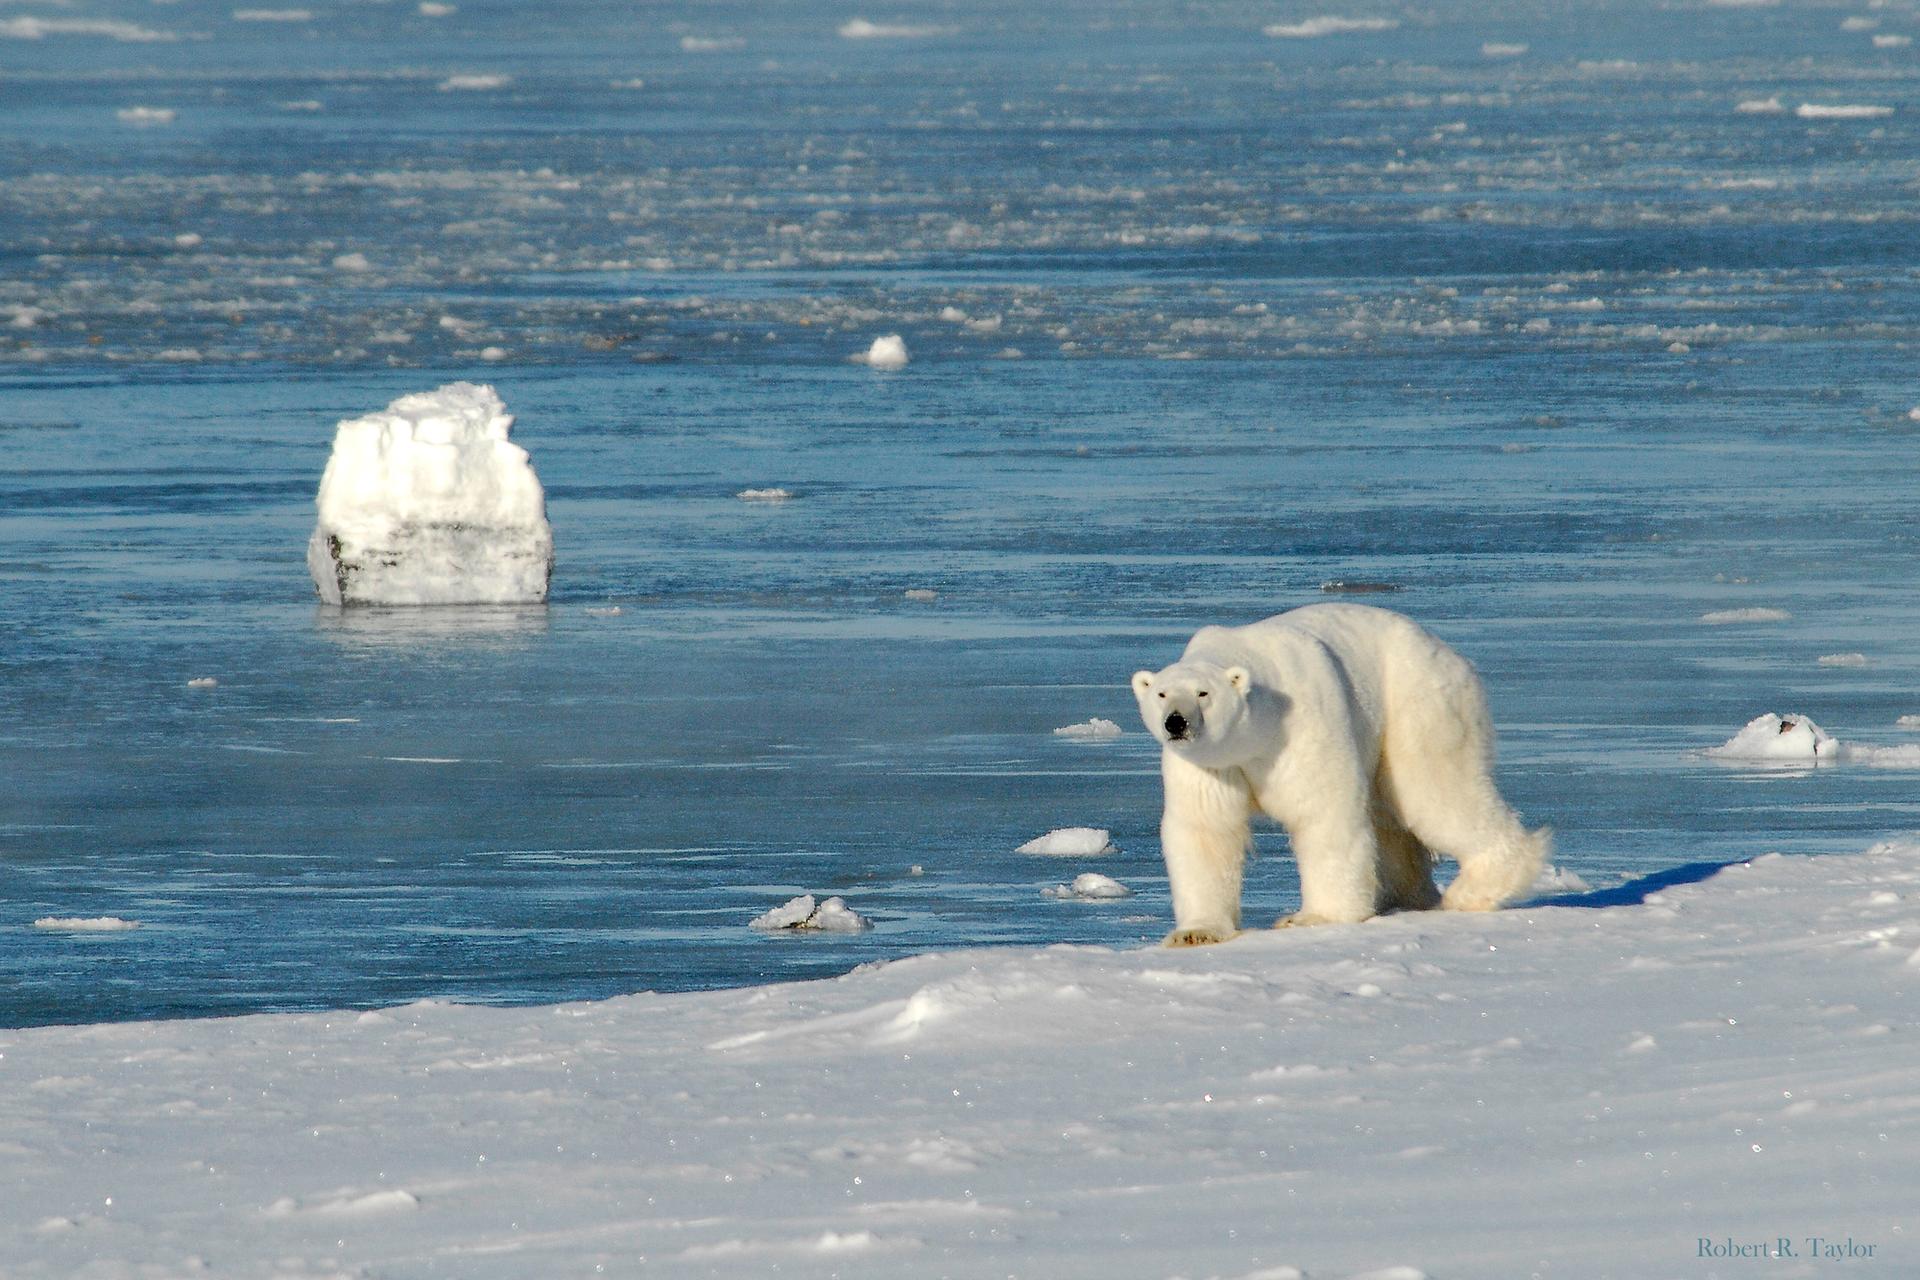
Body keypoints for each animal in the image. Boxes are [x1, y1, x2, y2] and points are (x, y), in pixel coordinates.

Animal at [1130, 603, 1549, 947]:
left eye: (1203, 693)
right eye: (1162, 694)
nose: (1176, 722)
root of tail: (1447, 652)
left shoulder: (1302, 725)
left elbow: (1322, 810)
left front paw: (1312, 918)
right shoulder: (1209, 765)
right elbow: (1206, 830)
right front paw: (1195, 932)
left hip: (1416, 704)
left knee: (1436, 791)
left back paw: (1473, 889)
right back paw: (1404, 899)